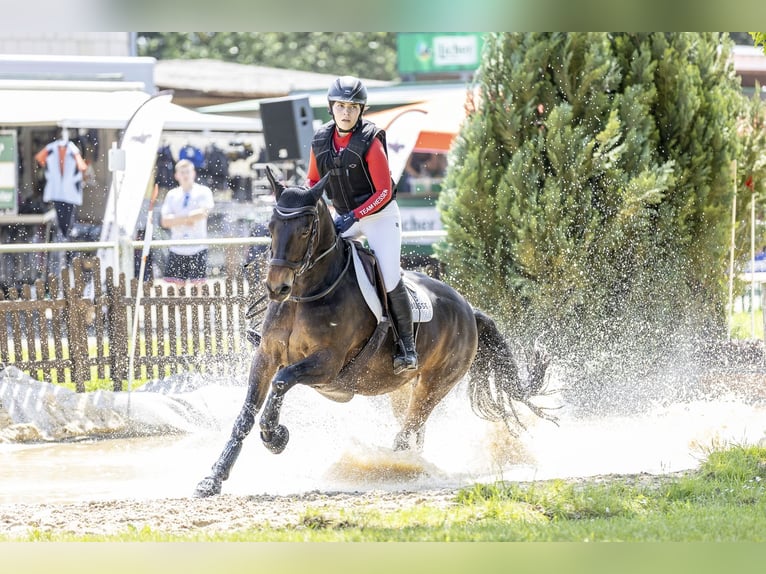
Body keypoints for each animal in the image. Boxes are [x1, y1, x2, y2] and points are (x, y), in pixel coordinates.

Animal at [195, 164, 556, 498]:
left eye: (306, 229)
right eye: (271, 226)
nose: (277, 287)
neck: (307, 294)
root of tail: (469, 309)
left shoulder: (328, 364)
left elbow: (282, 382)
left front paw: (275, 437)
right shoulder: (266, 356)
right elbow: (246, 413)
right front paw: (213, 478)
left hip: (435, 384)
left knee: (409, 430)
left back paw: (388, 469)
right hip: (402, 388)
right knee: (414, 432)